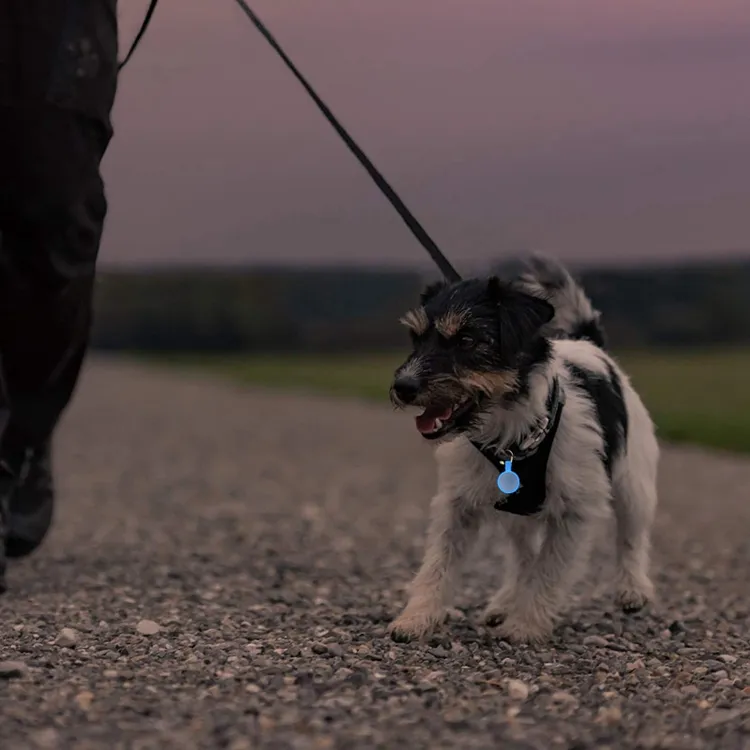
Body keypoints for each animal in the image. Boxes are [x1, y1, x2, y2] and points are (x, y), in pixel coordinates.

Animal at [388, 256, 656, 644]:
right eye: (416, 338)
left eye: (467, 339)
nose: (403, 387)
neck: (510, 434)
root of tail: (589, 342)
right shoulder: (456, 505)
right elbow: (439, 563)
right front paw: (417, 617)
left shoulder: (574, 512)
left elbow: (548, 571)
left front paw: (525, 625)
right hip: (518, 513)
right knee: (523, 557)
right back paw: (504, 602)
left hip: (634, 483)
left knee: (631, 536)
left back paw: (633, 589)